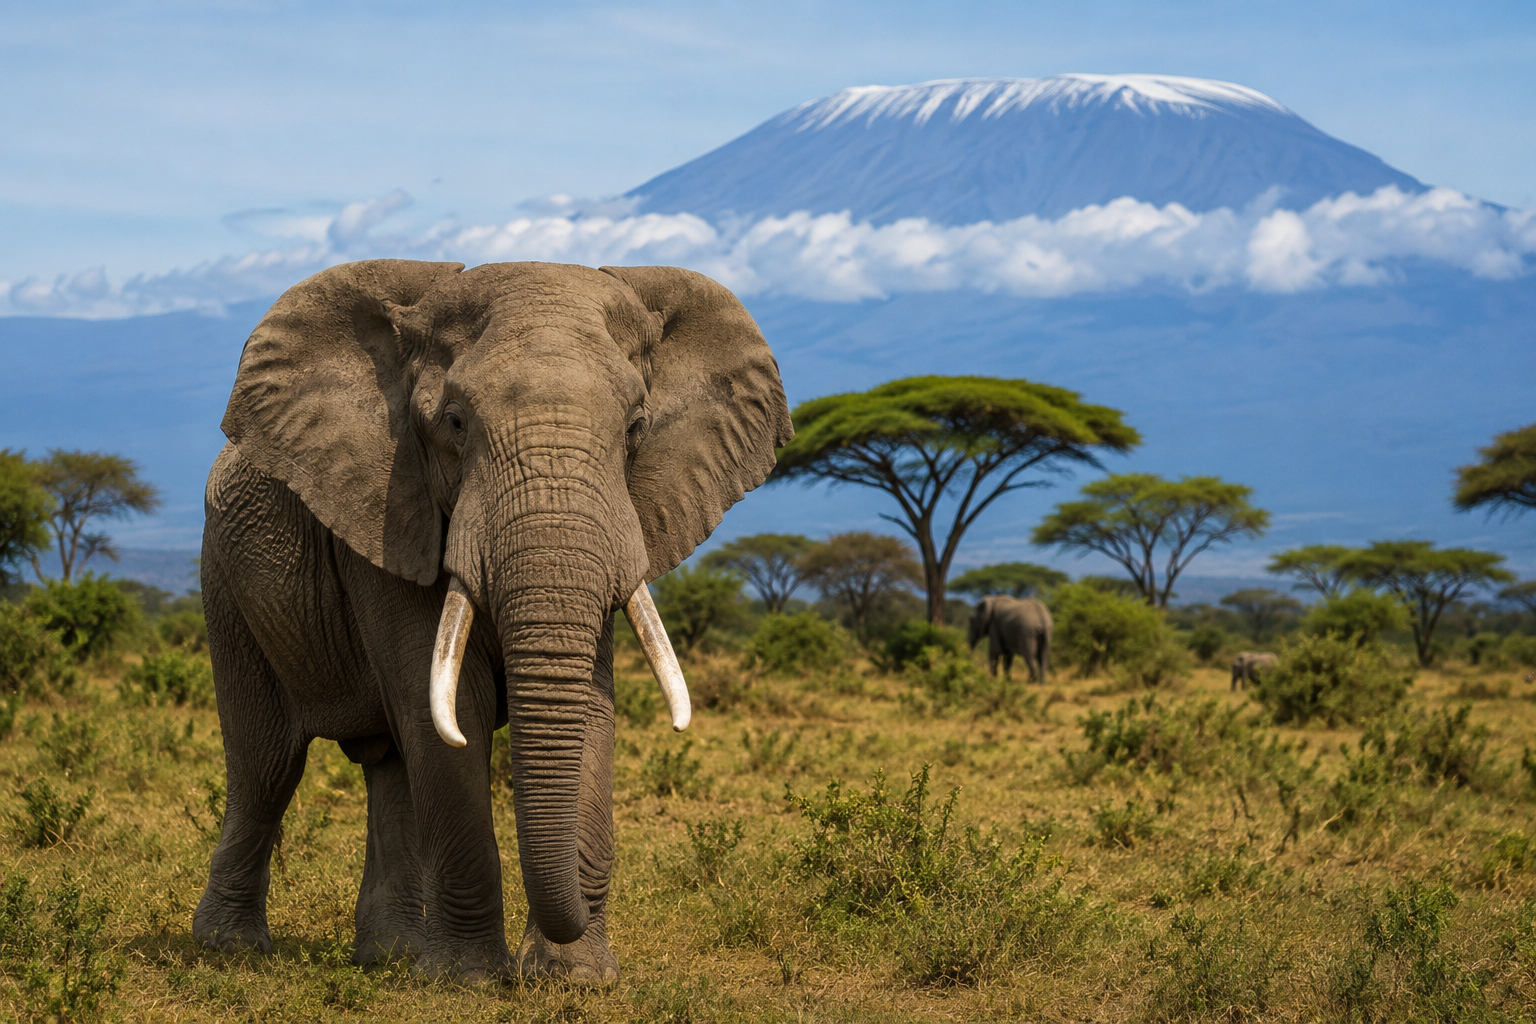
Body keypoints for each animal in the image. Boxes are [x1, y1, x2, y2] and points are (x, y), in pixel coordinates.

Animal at [191, 259, 792, 985]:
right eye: (453, 422)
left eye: (635, 428)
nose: (547, 957)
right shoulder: (391, 511)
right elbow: (454, 716)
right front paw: (470, 980)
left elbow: (589, 710)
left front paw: (573, 979)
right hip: (223, 580)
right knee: (268, 763)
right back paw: (231, 949)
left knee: (387, 766)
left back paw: (390, 956)